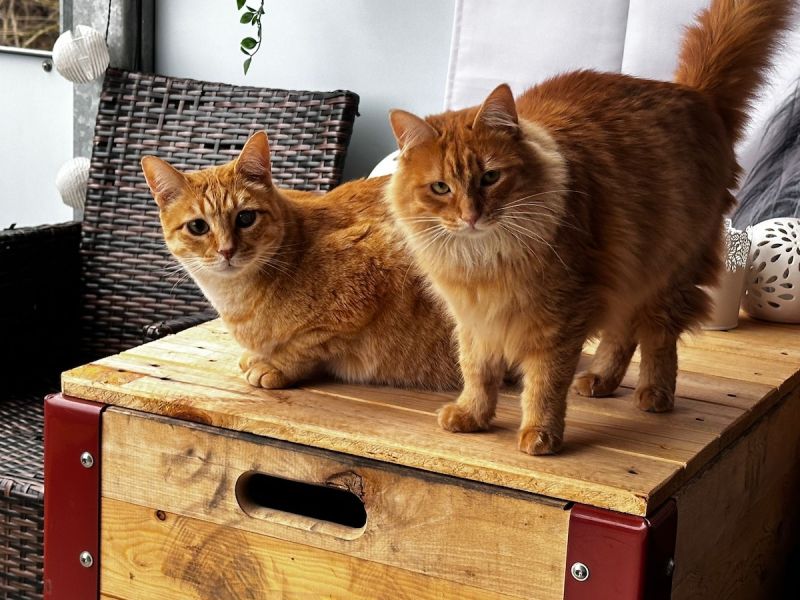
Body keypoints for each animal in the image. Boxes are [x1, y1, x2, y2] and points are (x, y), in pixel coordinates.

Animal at [141, 131, 460, 390]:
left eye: (245, 218)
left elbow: (307, 344)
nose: (226, 251)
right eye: (198, 227)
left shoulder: (375, 270)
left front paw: (273, 365)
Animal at [386, 0, 793, 454]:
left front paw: (540, 435)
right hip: (630, 269)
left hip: (667, 273)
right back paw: (600, 379)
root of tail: (696, 95)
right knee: (622, 333)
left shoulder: (559, 316)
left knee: (657, 340)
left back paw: (655, 395)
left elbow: (544, 384)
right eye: (441, 188)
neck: (485, 260)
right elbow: (476, 371)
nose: (471, 215)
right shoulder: (474, 321)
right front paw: (472, 415)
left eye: (490, 178)